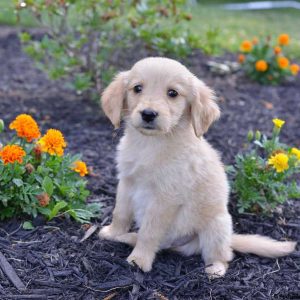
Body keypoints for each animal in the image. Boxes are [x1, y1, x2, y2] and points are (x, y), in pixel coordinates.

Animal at [99, 57, 296, 278]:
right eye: (137, 88)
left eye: (173, 93)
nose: (148, 114)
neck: (150, 144)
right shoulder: (127, 180)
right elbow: (120, 212)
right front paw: (113, 233)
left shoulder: (165, 197)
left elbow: (150, 231)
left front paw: (139, 260)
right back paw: (128, 237)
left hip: (216, 228)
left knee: (223, 255)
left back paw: (215, 269)